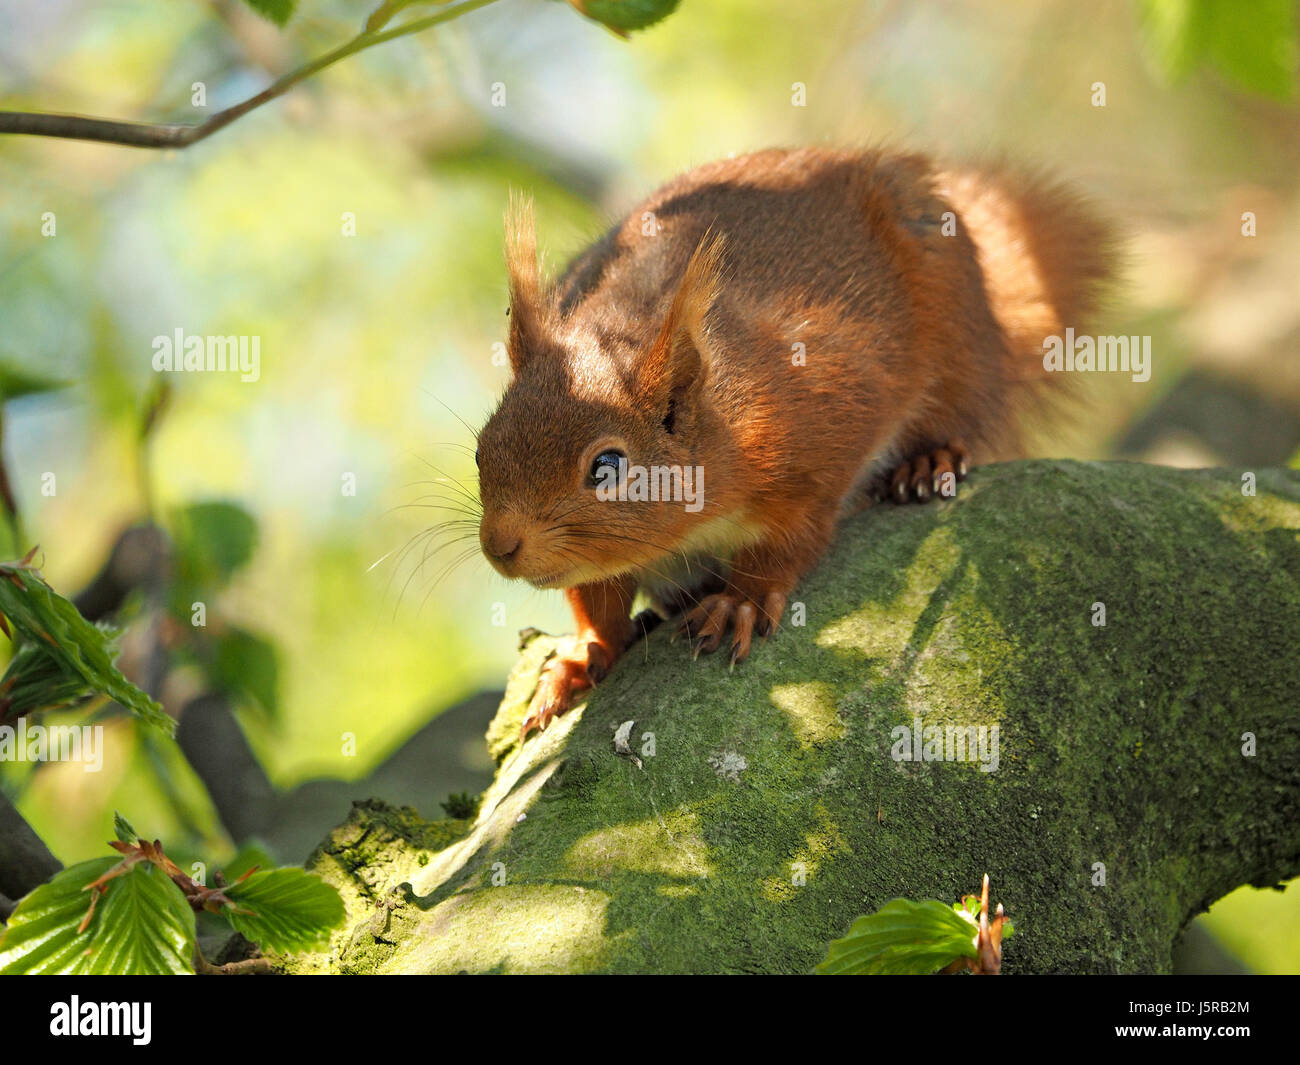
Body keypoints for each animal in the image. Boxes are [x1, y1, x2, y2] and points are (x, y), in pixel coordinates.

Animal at [478, 145, 1118, 738]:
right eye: (484, 445)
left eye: (608, 466)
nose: (500, 546)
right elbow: (599, 602)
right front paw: (584, 656)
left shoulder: (815, 441)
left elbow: (791, 538)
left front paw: (740, 601)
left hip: (956, 329)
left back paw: (929, 460)